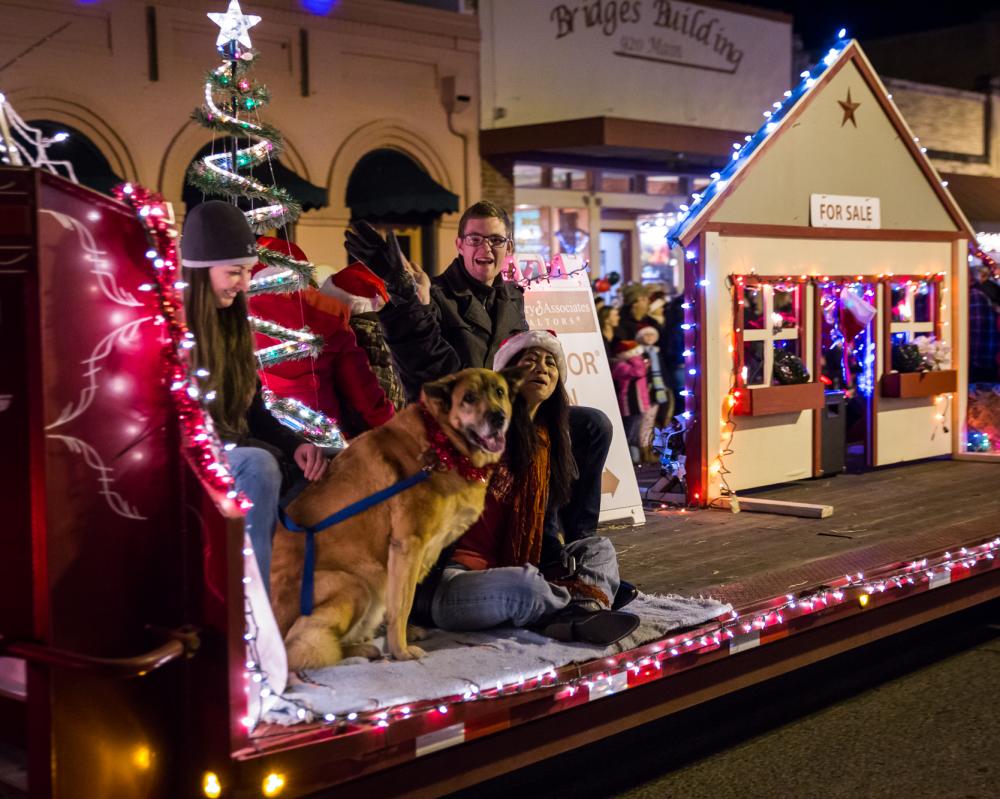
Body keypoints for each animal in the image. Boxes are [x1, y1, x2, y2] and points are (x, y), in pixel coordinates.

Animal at [274, 368, 524, 668]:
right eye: (469, 397)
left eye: (499, 392)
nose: (498, 417)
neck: (441, 443)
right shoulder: (408, 545)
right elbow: (402, 605)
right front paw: (400, 650)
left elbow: (403, 602)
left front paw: (405, 634)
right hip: (354, 584)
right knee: (302, 649)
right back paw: (362, 649)